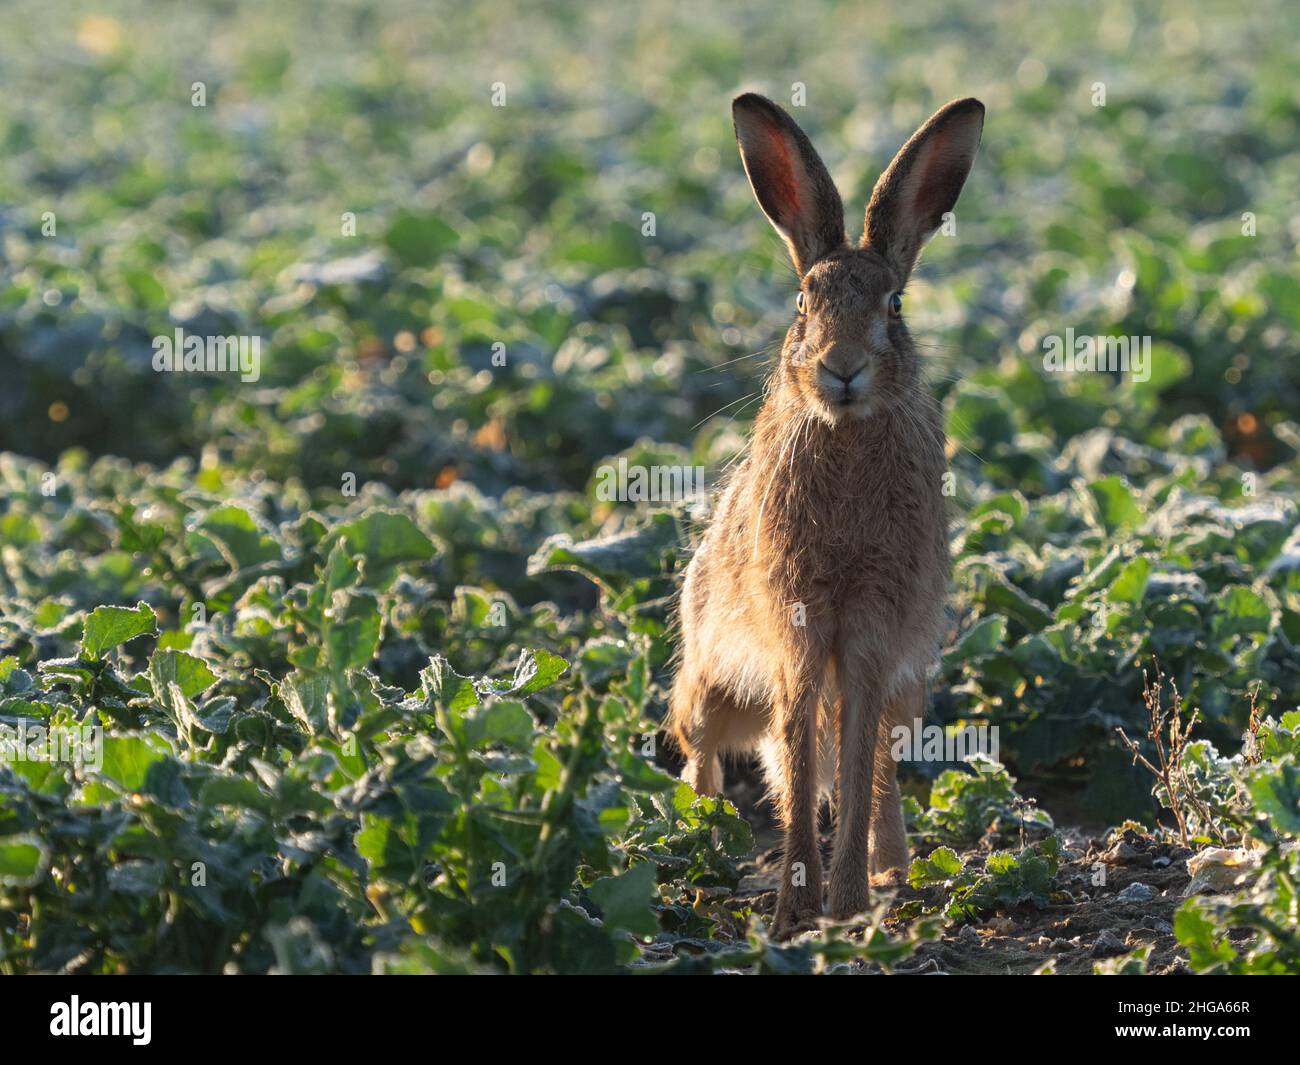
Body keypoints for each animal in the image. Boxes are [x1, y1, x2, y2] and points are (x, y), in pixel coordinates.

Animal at [668, 92, 984, 938]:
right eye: (802, 303)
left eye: (895, 305)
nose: (842, 368)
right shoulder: (798, 621)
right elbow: (803, 746)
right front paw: (792, 912)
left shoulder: (873, 626)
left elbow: (852, 750)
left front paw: (842, 905)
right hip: (709, 679)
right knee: (706, 746)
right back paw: (695, 835)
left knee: (874, 763)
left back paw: (891, 871)